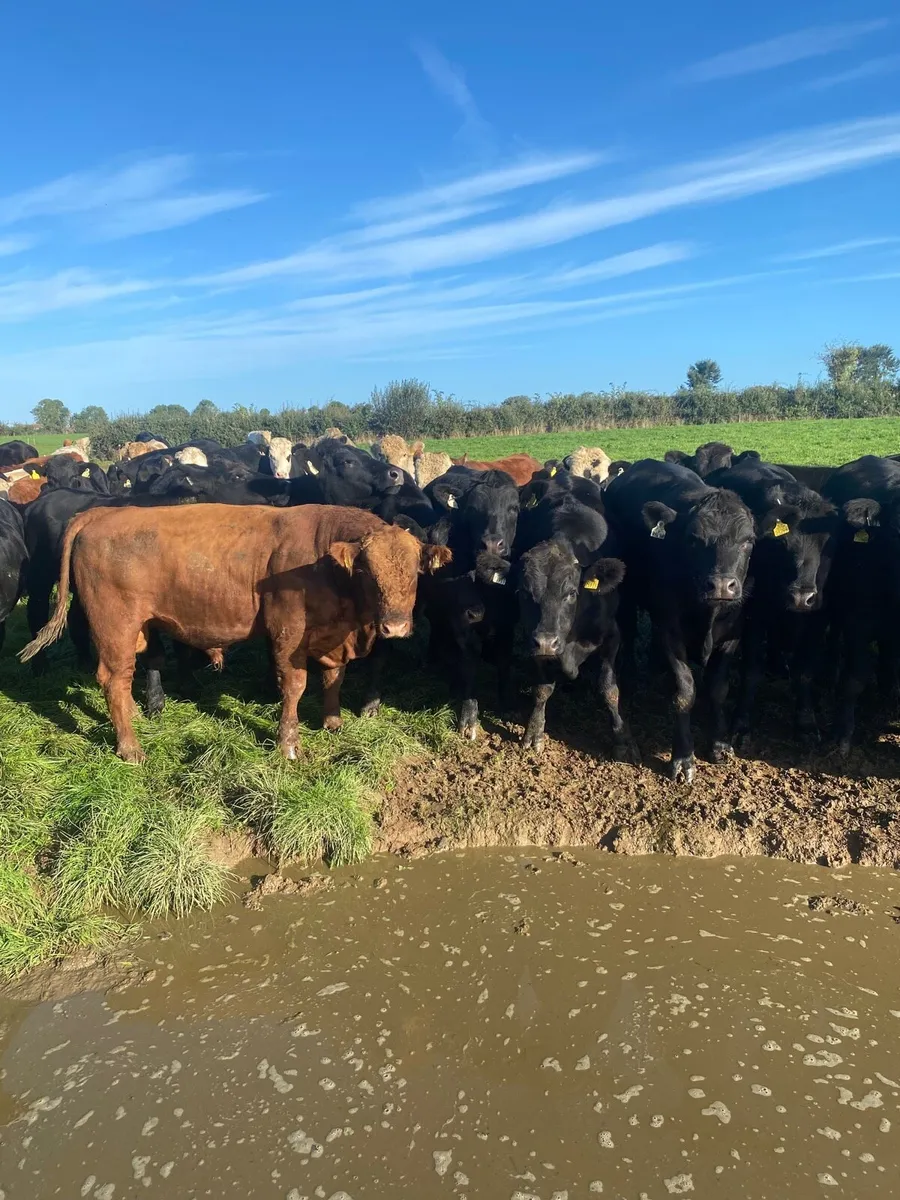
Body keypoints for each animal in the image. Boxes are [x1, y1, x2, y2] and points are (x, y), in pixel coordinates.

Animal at [21, 505, 452, 762]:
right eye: (367, 571)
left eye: (414, 572)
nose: (395, 625)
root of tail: (103, 512)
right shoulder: (287, 635)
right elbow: (294, 687)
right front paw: (288, 744)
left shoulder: (333, 638)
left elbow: (334, 678)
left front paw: (333, 722)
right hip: (116, 629)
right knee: (114, 679)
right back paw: (130, 748)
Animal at [603, 459, 755, 782]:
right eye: (694, 539)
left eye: (748, 541)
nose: (722, 585)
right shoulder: (671, 630)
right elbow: (685, 692)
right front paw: (683, 757)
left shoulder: (733, 631)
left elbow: (718, 689)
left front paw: (719, 743)